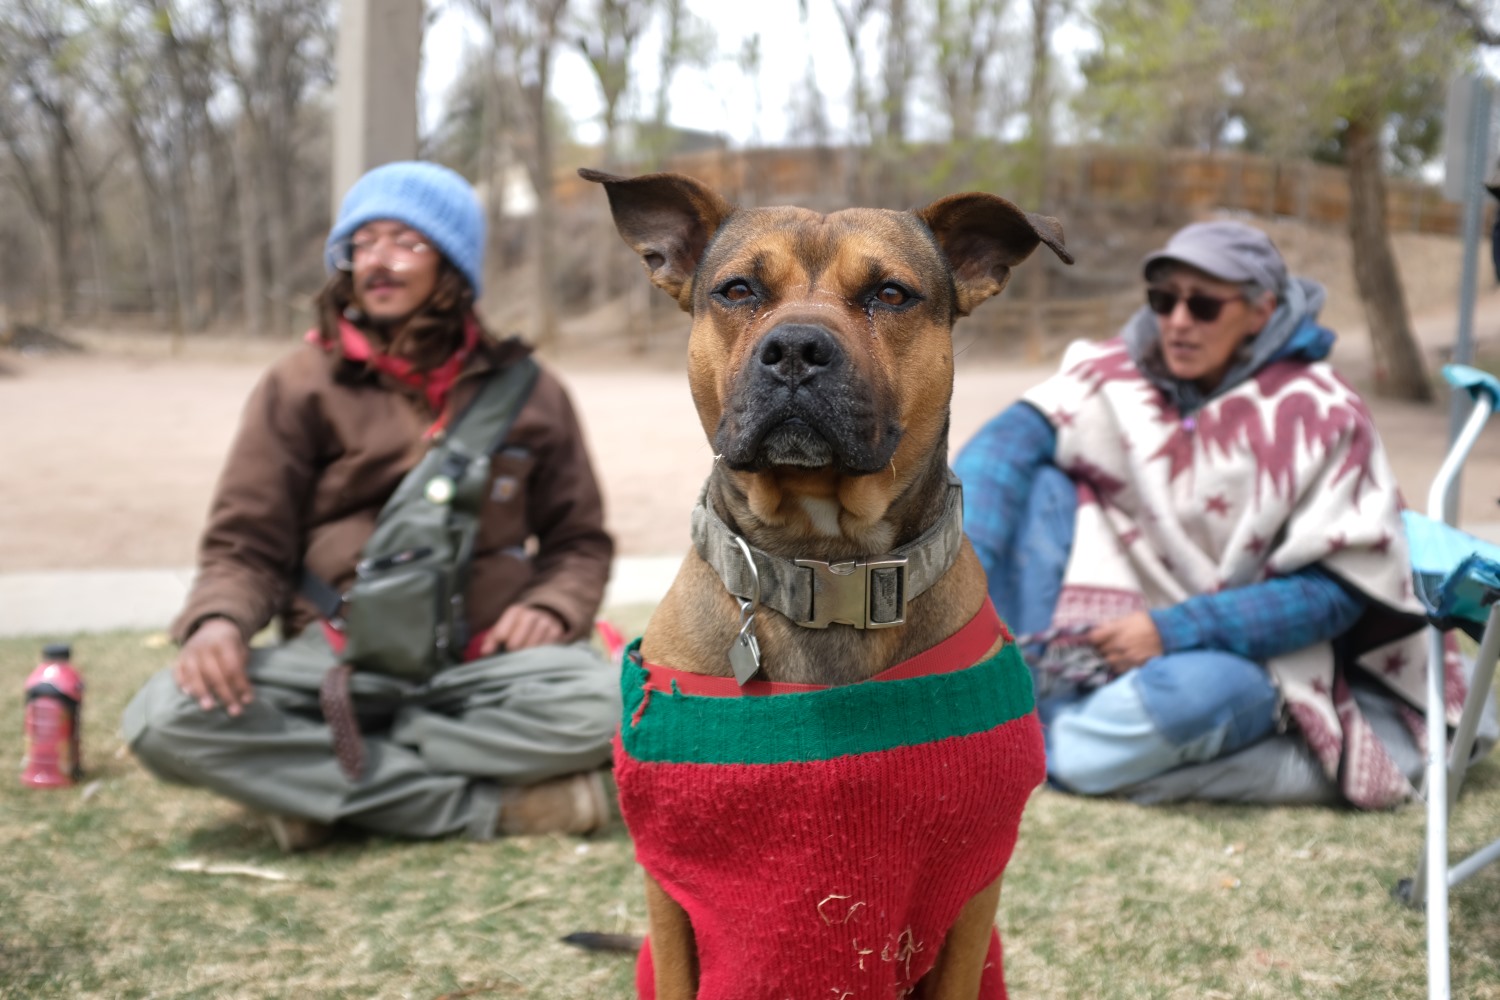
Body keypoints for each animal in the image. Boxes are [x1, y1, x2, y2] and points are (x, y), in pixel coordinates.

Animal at [583, 168, 1071, 999]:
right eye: (738, 289)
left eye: (891, 294)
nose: (795, 350)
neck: (826, 562)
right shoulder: (670, 896)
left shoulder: (974, 889)